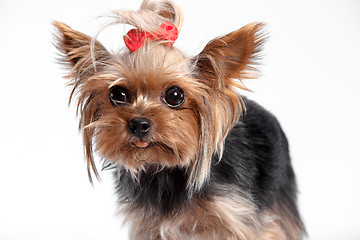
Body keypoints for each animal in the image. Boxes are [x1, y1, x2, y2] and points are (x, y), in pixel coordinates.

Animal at [53, 0, 306, 238]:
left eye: (175, 95)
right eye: (117, 94)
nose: (139, 124)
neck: (165, 171)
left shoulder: (241, 219)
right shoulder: (149, 227)